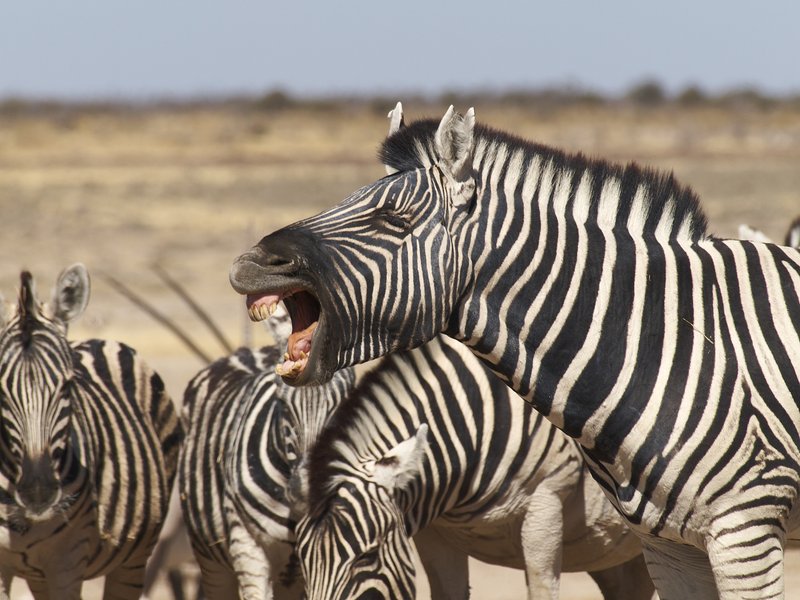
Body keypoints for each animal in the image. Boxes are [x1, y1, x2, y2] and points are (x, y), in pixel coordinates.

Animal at [0, 264, 182, 599]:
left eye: (68, 385)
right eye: (1, 392)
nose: (38, 492)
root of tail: (102, 340)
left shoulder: (67, 563)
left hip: (136, 556)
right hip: (39, 575)